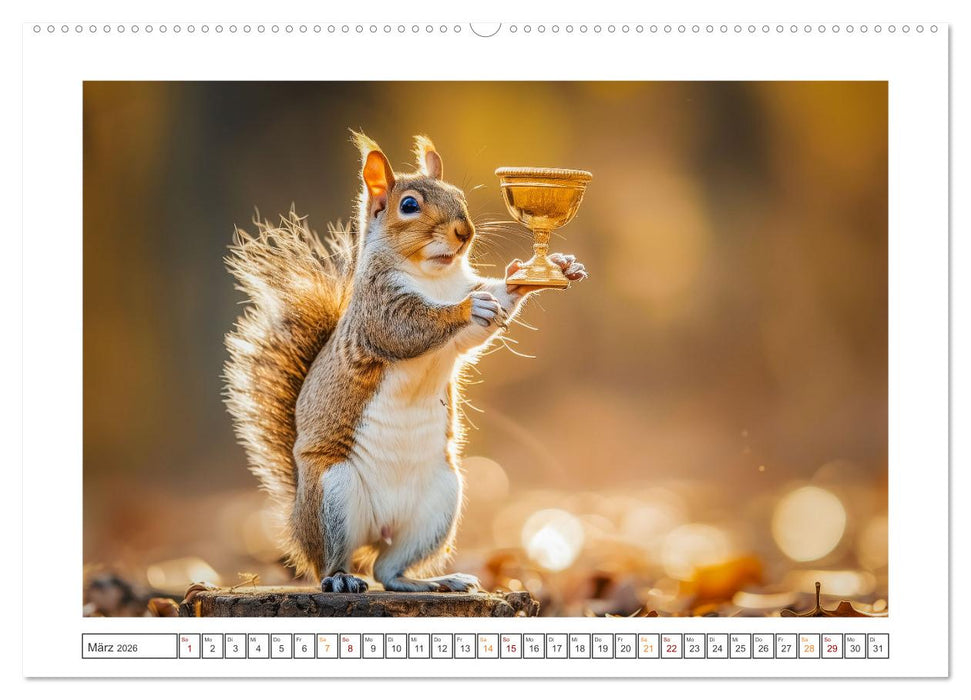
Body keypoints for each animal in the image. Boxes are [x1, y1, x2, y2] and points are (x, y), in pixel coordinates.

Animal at [224, 132, 587, 593]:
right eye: (409, 205)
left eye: (458, 196)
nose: (464, 232)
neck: (436, 277)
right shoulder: (377, 312)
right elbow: (407, 328)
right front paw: (468, 306)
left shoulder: (459, 331)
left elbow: (484, 320)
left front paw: (547, 272)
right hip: (332, 494)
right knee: (333, 562)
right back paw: (342, 580)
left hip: (440, 503)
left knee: (389, 570)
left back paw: (433, 582)